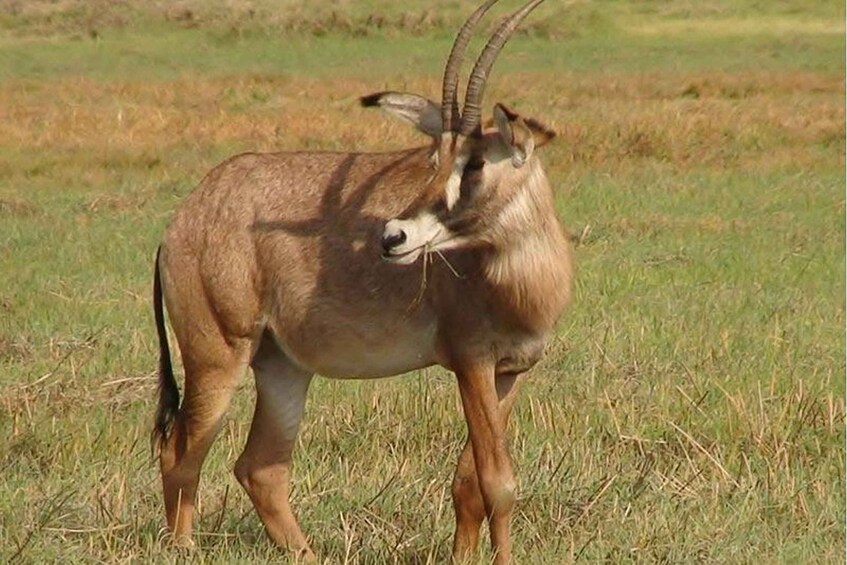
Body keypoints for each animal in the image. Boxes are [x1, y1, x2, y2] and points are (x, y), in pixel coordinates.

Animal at [151, 0, 572, 562]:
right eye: (434, 160)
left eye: (477, 162)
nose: (394, 236)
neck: (519, 273)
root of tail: (183, 220)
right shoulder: (471, 364)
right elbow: (497, 484)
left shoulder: (511, 371)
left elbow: (468, 485)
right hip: (218, 357)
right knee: (181, 454)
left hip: (282, 367)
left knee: (261, 468)